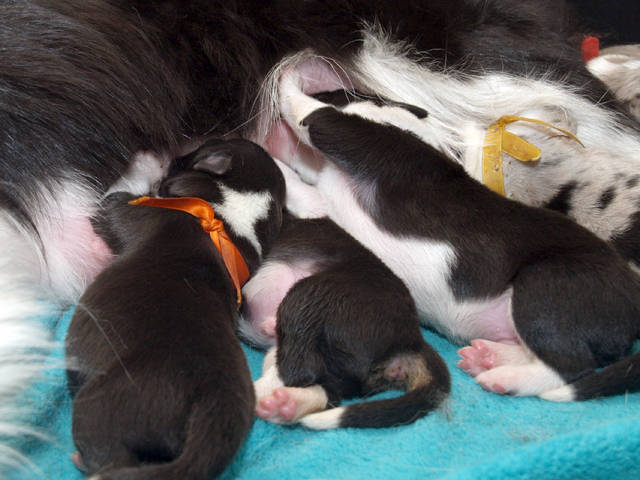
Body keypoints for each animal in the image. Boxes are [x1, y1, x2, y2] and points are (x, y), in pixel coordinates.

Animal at [65, 138, 285, 480]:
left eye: (189, 154)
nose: (170, 156)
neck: (227, 216)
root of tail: (213, 406)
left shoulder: (122, 209)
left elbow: (114, 198)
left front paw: (143, 162)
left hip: (102, 405)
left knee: (110, 455)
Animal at [268, 70, 640, 402]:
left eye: (335, 89)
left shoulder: (350, 135)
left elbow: (306, 112)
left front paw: (290, 76)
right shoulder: (321, 201)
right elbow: (296, 175)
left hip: (543, 285)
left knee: (570, 365)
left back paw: (506, 378)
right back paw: (489, 357)